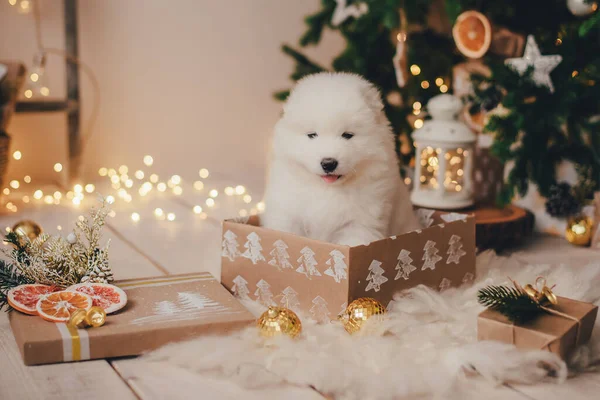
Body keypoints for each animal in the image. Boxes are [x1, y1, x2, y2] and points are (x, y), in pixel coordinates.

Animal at [262, 73, 422, 245]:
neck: (326, 190)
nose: (328, 163)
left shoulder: (360, 226)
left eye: (347, 135)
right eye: (312, 135)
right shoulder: (288, 215)